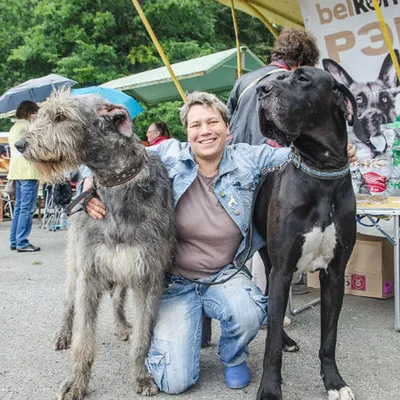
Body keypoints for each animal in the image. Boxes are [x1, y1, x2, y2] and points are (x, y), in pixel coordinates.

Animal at [16, 91, 175, 400]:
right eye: (42, 114)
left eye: (61, 116)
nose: (19, 145)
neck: (116, 184)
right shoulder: (89, 273)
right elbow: (83, 339)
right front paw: (76, 382)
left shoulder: (147, 273)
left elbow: (144, 336)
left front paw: (141, 376)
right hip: (75, 265)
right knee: (68, 303)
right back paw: (63, 334)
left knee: (117, 300)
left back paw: (122, 325)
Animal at [253, 67, 356, 398]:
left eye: (302, 79)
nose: (261, 90)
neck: (321, 173)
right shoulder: (283, 269)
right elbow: (271, 343)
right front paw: (270, 389)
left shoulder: (335, 274)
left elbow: (330, 337)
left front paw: (335, 382)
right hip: (271, 264)